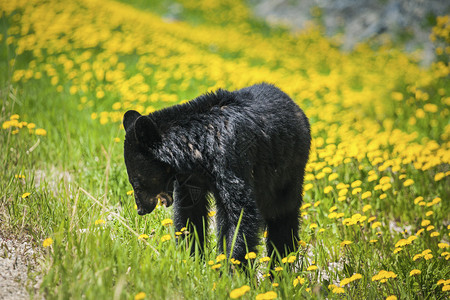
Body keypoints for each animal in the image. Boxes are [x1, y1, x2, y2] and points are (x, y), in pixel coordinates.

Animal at [123, 82, 310, 262]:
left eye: (137, 183)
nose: (140, 209)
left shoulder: (231, 158)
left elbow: (240, 211)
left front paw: (233, 266)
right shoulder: (190, 178)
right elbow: (189, 212)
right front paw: (191, 258)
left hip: (288, 168)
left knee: (283, 213)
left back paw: (282, 261)